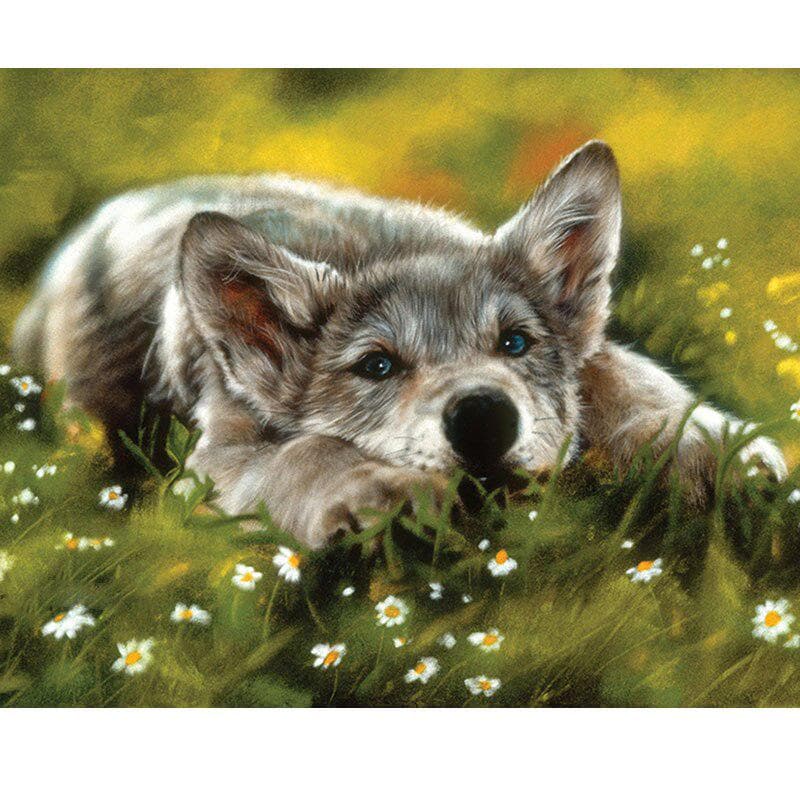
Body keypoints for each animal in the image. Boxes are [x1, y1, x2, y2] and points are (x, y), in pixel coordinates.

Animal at [13, 141, 786, 547]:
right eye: (376, 365)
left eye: (515, 342)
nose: (483, 418)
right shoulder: (220, 452)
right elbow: (306, 452)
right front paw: (376, 492)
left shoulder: (589, 355)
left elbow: (622, 375)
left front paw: (710, 446)